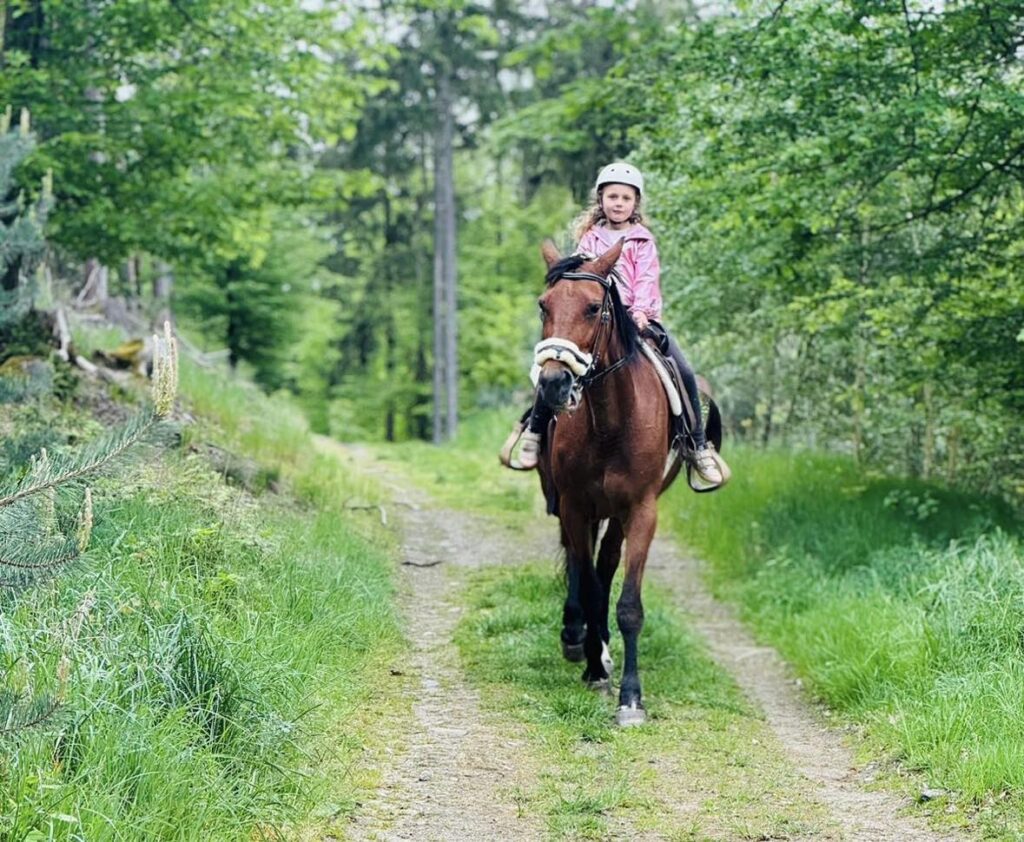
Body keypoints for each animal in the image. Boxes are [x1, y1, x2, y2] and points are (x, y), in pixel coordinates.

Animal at [532, 240, 684, 729]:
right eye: (544, 305)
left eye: (593, 307)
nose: (554, 383)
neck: (610, 422)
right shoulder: (575, 506)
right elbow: (591, 586)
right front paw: (592, 663)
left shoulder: (640, 511)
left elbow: (627, 603)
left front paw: (631, 697)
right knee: (582, 569)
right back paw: (579, 638)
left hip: (615, 515)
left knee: (606, 562)